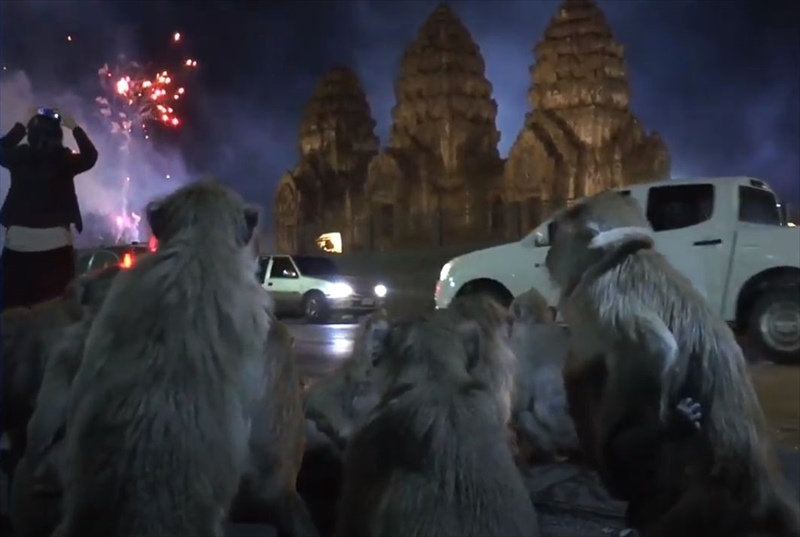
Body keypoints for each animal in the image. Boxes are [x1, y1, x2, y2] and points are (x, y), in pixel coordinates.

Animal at [544, 189, 800, 536]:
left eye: (556, 233)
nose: (546, 255)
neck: (630, 257)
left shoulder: (593, 294)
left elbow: (657, 347)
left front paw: (655, 429)